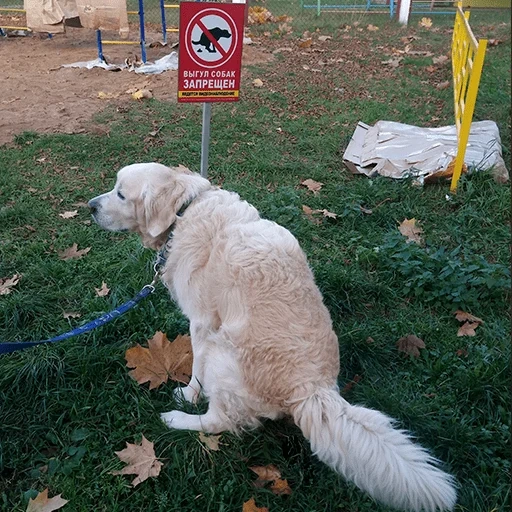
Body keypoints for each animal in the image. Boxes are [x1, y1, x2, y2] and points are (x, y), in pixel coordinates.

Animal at [87, 164, 456, 512]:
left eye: (120, 194)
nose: (90, 206)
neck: (184, 211)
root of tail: (313, 390)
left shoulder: (202, 324)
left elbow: (195, 371)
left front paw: (188, 395)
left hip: (222, 353)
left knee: (218, 421)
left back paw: (177, 420)